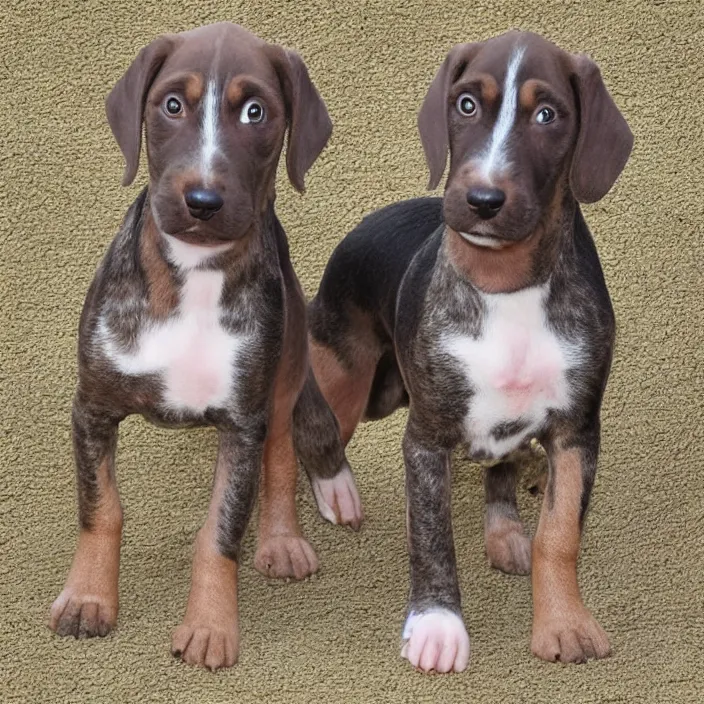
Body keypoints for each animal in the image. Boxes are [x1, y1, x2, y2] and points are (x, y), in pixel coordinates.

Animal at [48, 22, 364, 672]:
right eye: (172, 105)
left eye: (255, 112)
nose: (202, 200)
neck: (193, 276)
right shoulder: (92, 407)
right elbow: (100, 507)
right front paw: (88, 597)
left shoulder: (243, 421)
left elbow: (222, 529)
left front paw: (211, 625)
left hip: (287, 362)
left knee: (282, 450)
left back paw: (284, 536)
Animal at [306, 31, 632, 672]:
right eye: (465, 104)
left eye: (548, 114)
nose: (483, 197)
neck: (504, 281)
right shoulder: (425, 436)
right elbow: (433, 536)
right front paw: (438, 626)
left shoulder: (577, 430)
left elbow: (561, 533)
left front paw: (563, 622)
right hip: (352, 377)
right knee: (300, 422)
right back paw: (319, 499)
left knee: (502, 468)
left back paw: (506, 531)